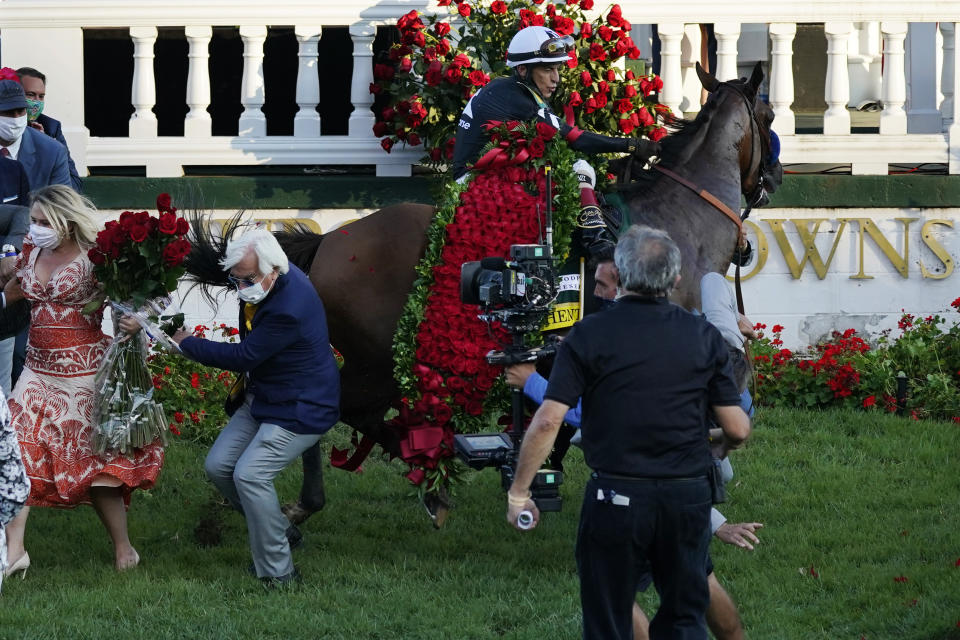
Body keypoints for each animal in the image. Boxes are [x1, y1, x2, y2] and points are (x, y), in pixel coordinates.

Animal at [186, 60, 780, 524]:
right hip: (375, 358)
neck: (678, 223)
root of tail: (328, 241)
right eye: (770, 117)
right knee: (326, 407)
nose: (772, 179)